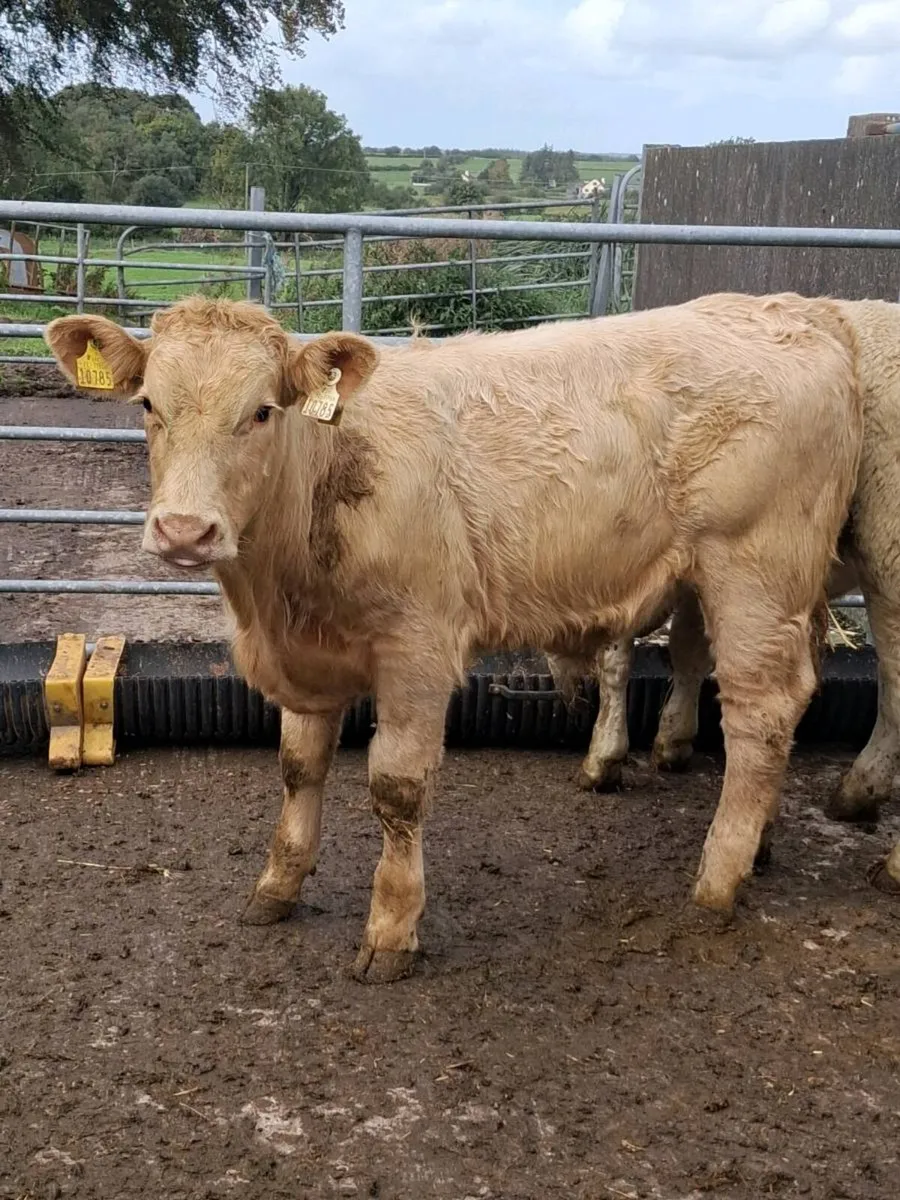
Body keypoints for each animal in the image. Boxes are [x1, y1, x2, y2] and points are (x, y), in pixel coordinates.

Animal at [46, 291, 863, 982]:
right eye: (149, 404)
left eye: (262, 412)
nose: (185, 531)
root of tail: (792, 311)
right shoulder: (308, 660)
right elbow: (299, 768)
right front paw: (277, 884)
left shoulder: (418, 649)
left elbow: (396, 788)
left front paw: (390, 930)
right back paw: (760, 844)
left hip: (756, 574)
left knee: (761, 713)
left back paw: (719, 878)